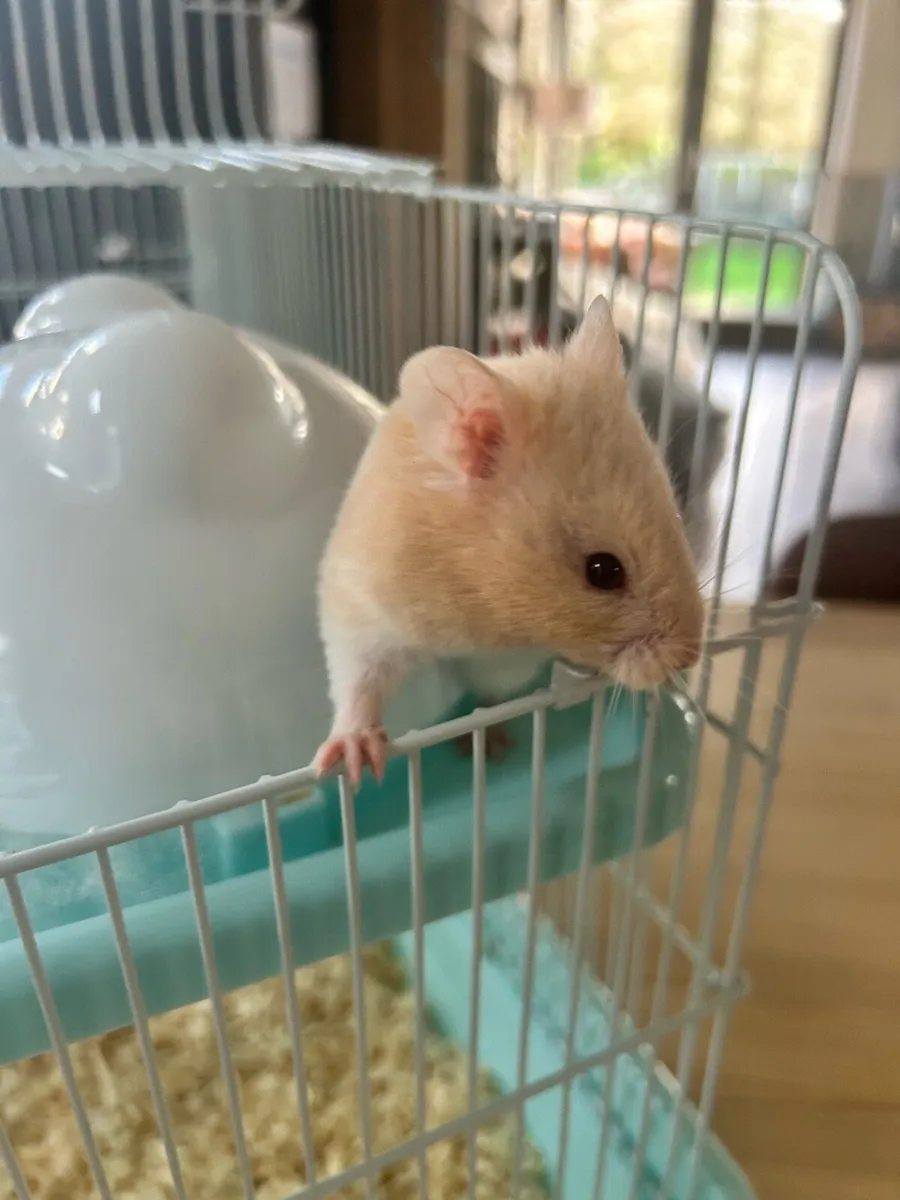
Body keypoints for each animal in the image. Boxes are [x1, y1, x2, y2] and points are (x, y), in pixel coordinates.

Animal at [313, 295, 704, 784]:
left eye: (675, 512)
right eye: (603, 571)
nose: (690, 657)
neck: (484, 604)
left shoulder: (504, 662)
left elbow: (488, 699)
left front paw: (490, 747)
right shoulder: (362, 605)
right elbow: (359, 679)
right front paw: (353, 761)